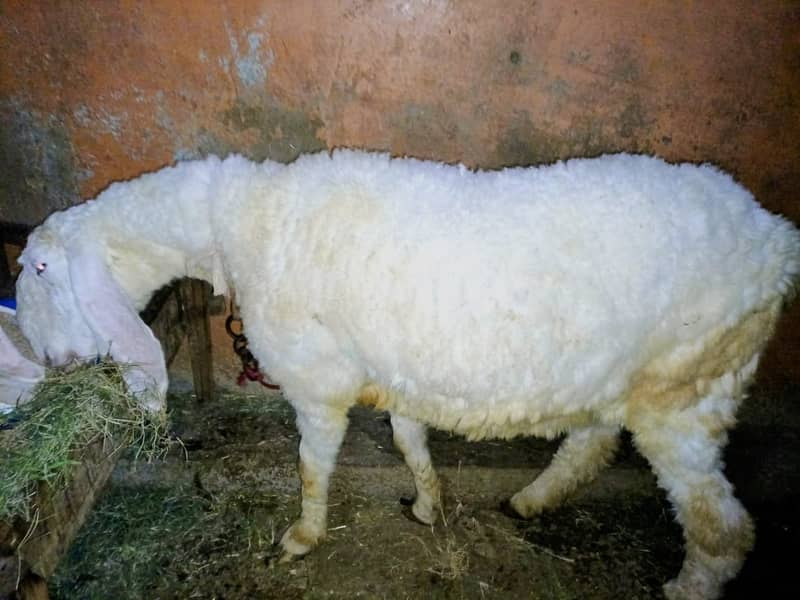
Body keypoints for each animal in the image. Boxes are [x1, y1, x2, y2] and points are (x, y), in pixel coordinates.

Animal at [15, 150, 800, 600]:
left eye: (42, 270)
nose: (49, 364)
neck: (242, 225)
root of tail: (776, 239)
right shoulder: (397, 373)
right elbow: (409, 442)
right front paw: (427, 504)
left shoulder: (318, 381)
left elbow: (312, 467)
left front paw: (303, 537)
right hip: (625, 377)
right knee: (593, 444)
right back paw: (533, 499)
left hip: (687, 389)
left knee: (722, 529)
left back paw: (684, 587)